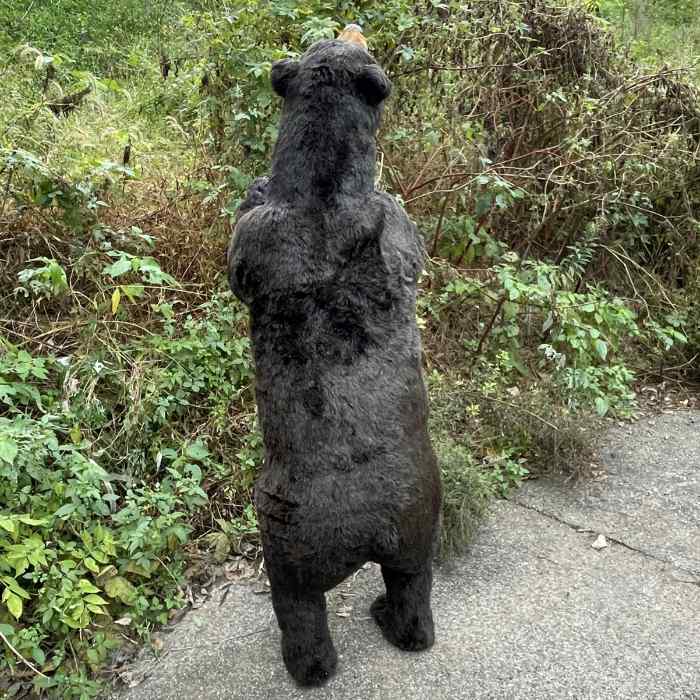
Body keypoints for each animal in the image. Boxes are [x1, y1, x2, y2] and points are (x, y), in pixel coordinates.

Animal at [227, 38, 441, 686]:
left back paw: (310, 668)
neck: (324, 188)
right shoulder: (400, 223)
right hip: (419, 525)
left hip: (286, 550)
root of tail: (368, 525)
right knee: (412, 586)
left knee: (300, 614)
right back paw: (400, 625)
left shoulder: (253, 239)